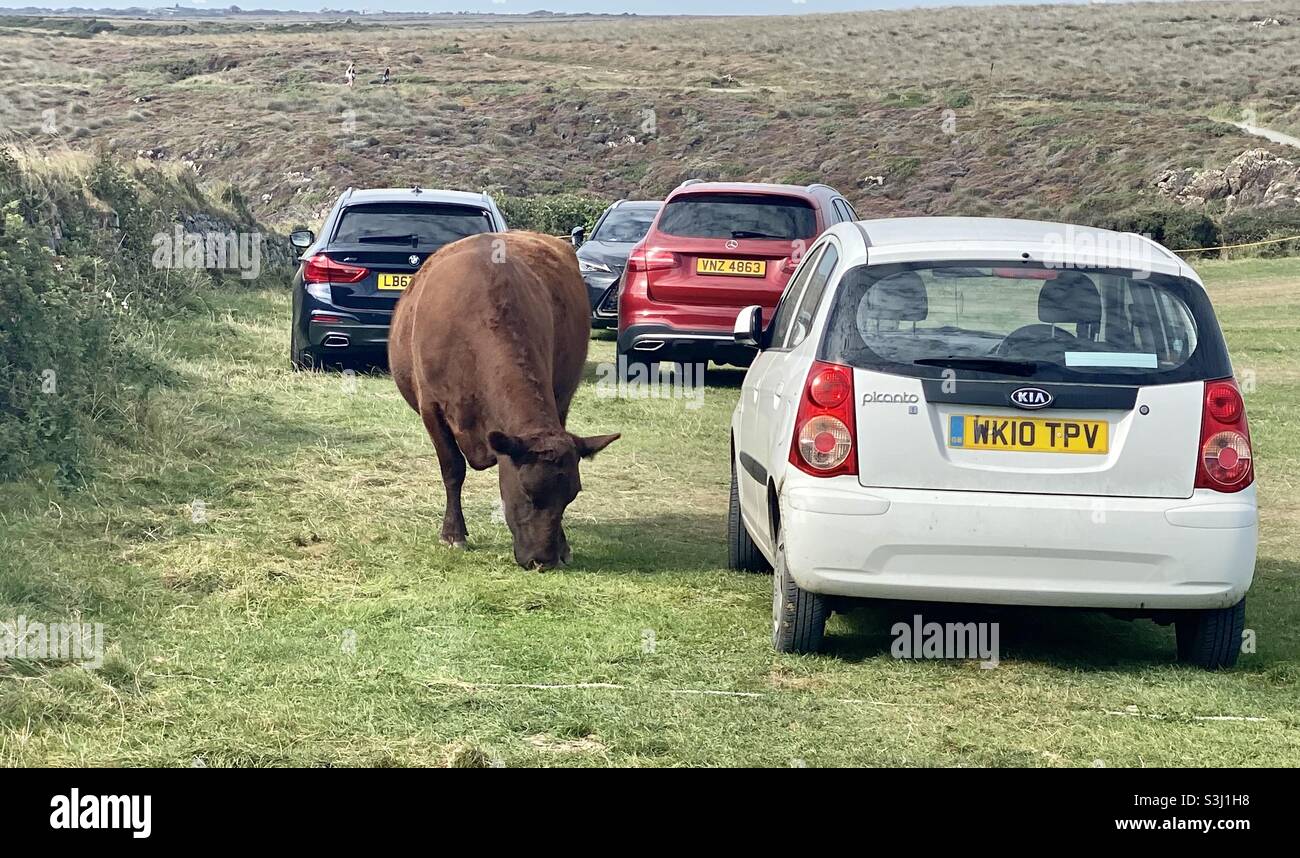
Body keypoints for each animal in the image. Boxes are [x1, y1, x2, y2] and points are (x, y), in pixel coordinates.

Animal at [388, 231, 619, 570]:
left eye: (571, 496)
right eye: (527, 492)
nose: (543, 560)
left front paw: (564, 545)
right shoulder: (431, 408)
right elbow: (453, 469)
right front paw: (453, 534)